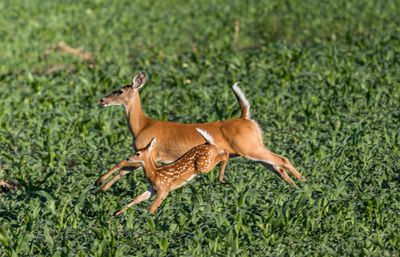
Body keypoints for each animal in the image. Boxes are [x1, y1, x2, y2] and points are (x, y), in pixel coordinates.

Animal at [94, 71, 306, 189]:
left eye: (119, 91)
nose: (102, 100)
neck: (142, 125)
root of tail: (245, 117)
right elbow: (124, 169)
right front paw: (103, 188)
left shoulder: (150, 153)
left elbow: (122, 163)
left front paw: (98, 183)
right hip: (254, 149)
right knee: (277, 166)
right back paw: (296, 188)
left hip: (249, 147)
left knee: (282, 160)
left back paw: (304, 184)